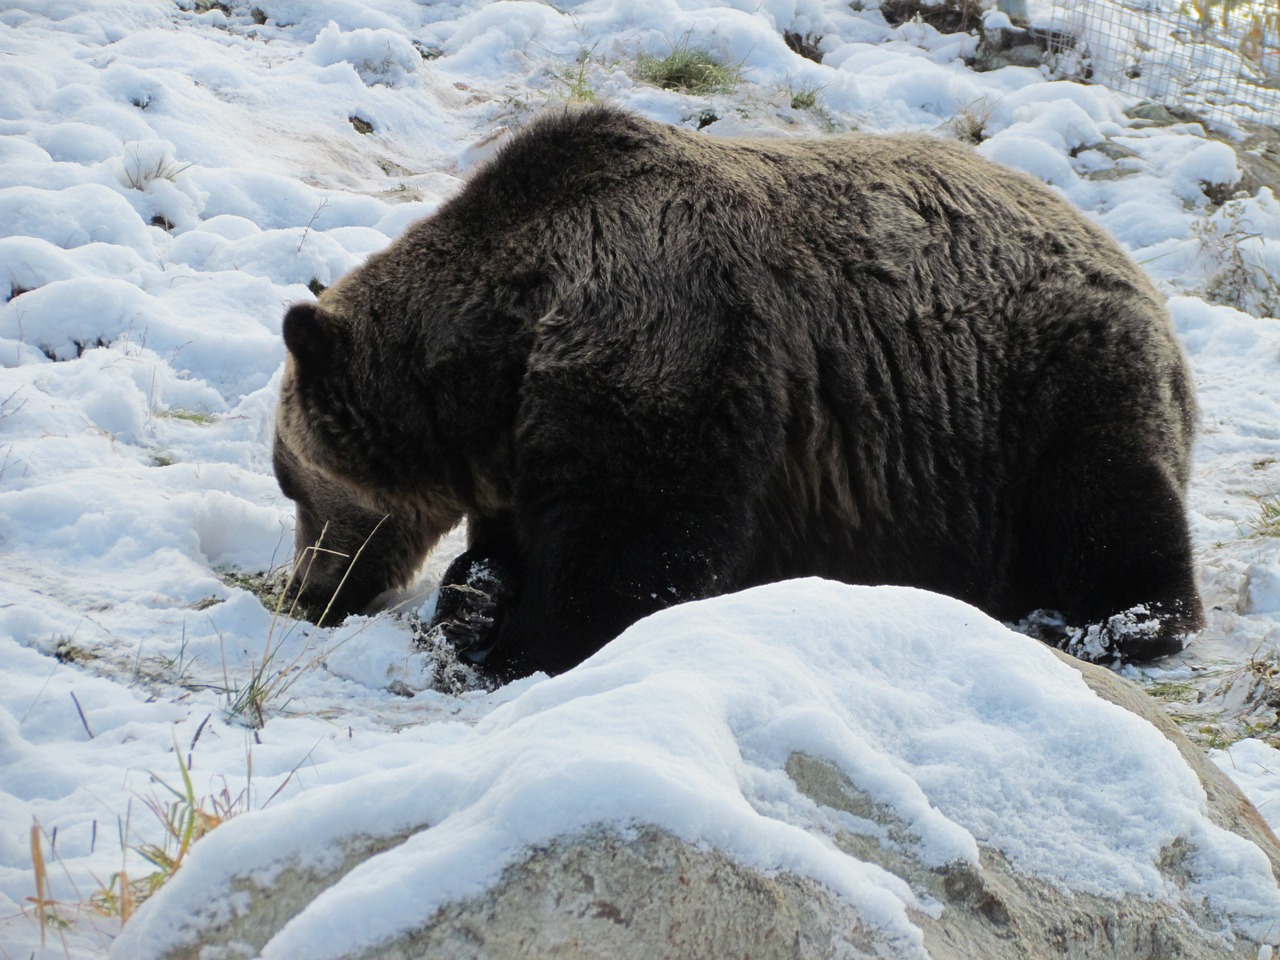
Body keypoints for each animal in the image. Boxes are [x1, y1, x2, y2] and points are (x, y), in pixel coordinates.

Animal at [270, 103, 1198, 675]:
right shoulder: (526, 435)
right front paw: (474, 599)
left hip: (1039, 388)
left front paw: (519, 646)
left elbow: (637, 549)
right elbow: (517, 541)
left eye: (292, 486)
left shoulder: (669, 341)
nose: (305, 590)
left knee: (1106, 501)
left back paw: (1114, 621)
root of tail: (1143, 280)